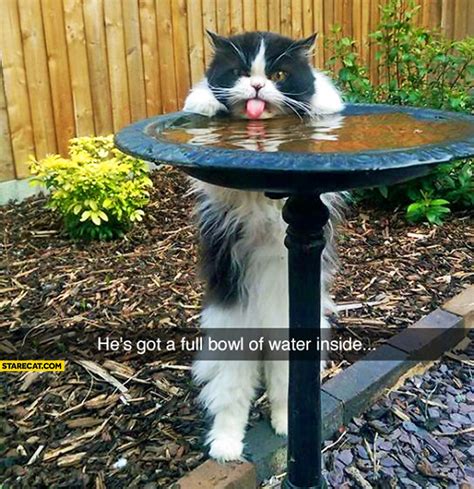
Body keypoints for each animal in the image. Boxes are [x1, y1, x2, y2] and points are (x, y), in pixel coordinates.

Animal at [182, 31, 344, 462]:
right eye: (240, 72)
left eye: (279, 75)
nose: (256, 87)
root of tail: (263, 334)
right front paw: (205, 102)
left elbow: (322, 101)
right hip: (231, 339)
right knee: (231, 400)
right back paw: (225, 446)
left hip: (291, 343)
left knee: (287, 394)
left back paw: (286, 428)